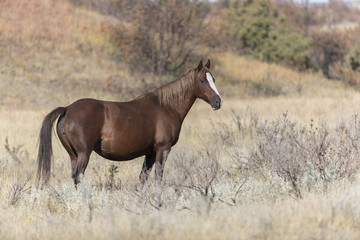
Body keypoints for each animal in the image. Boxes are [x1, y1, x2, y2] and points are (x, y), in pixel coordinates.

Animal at [37, 59, 222, 186]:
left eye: (213, 79)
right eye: (202, 80)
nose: (217, 102)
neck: (166, 106)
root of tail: (67, 108)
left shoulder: (150, 153)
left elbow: (143, 179)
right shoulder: (163, 149)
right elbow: (158, 178)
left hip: (74, 155)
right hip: (83, 154)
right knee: (79, 177)